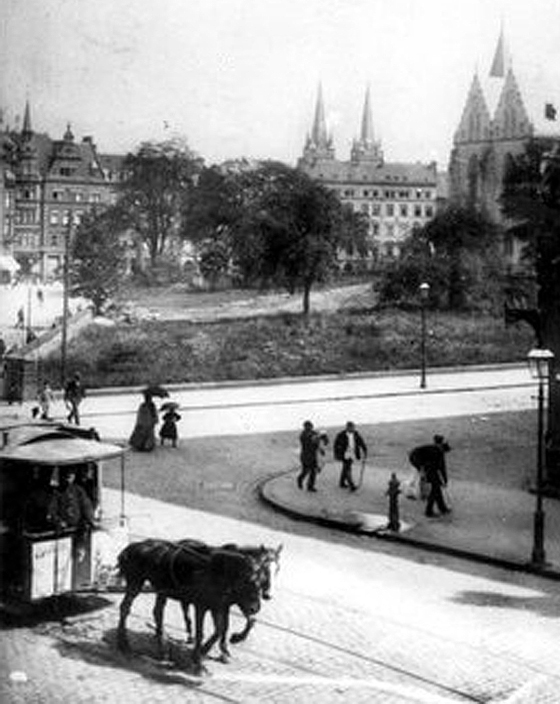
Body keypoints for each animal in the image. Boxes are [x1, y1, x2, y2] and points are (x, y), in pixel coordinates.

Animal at [116, 540, 264, 664]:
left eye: (262, 582)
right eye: (249, 582)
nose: (255, 608)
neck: (216, 573)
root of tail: (132, 547)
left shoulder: (218, 606)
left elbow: (220, 629)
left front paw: (209, 650)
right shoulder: (202, 606)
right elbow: (203, 632)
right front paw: (198, 657)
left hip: (161, 589)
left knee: (157, 612)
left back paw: (162, 648)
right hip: (136, 582)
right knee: (125, 608)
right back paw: (124, 643)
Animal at [152, 540, 282, 648]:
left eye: (278, 569)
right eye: (265, 569)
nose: (268, 595)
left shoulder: (237, 602)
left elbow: (249, 621)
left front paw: (234, 639)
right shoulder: (225, 603)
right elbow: (224, 626)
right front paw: (225, 646)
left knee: (184, 608)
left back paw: (189, 635)